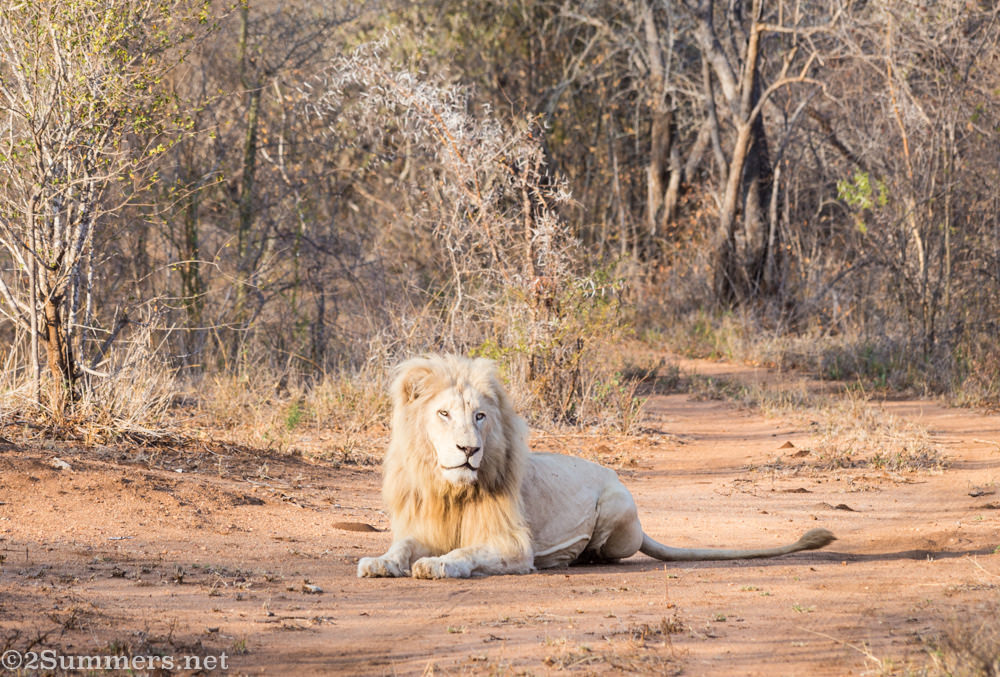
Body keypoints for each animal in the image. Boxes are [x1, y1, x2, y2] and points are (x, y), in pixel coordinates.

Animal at [357, 354, 835, 579]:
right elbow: (402, 547)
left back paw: (577, 557)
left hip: (616, 511)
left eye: (479, 416)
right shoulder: (424, 527)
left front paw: (437, 566)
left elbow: (465, 553)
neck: (450, 490)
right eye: (443, 414)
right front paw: (379, 562)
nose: (468, 450)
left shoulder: (514, 546)